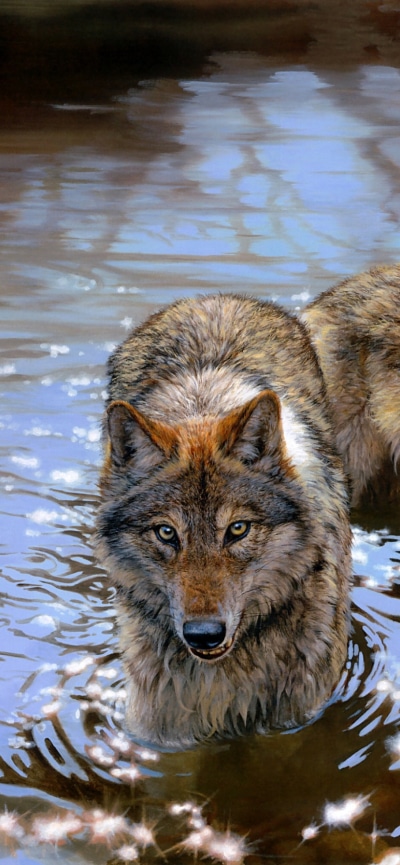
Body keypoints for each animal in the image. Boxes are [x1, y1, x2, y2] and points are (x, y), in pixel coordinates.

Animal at [96, 264, 399, 748]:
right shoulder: (160, 727)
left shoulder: (296, 717)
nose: (203, 635)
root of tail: (213, 298)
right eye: (167, 533)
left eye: (237, 530)